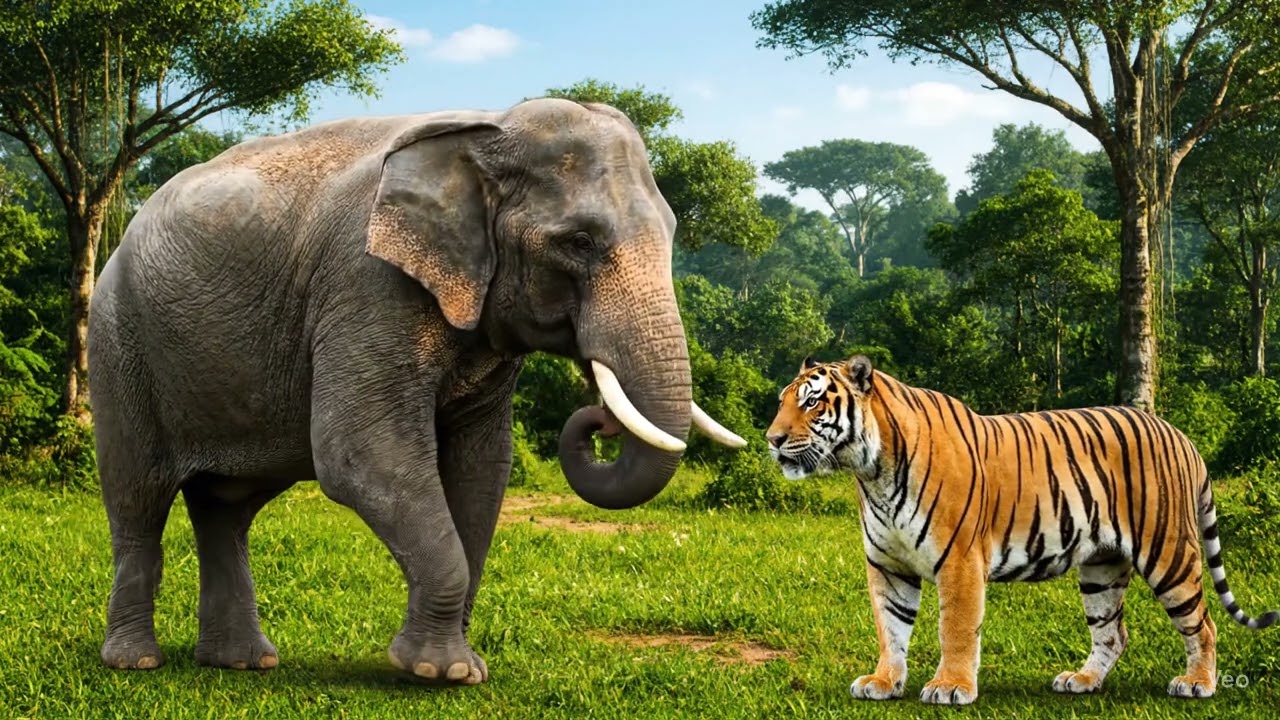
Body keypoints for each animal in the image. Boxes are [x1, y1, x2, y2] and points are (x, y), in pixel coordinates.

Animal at [86, 97, 746, 684]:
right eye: (579, 242)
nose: (599, 419)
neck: (488, 129)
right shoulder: (367, 286)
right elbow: (362, 455)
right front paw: (440, 671)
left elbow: (482, 468)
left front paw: (455, 668)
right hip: (118, 343)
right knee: (138, 499)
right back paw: (135, 662)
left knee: (227, 507)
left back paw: (243, 663)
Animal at [765, 354, 1278, 705]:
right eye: (783, 403)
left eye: (812, 403)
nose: (771, 439)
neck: (872, 472)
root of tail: (1180, 434)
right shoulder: (888, 565)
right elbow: (889, 627)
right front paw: (884, 682)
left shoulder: (959, 560)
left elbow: (955, 628)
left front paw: (949, 687)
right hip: (1102, 566)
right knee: (1113, 632)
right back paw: (1082, 680)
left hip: (1167, 551)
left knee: (1203, 622)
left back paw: (1197, 684)